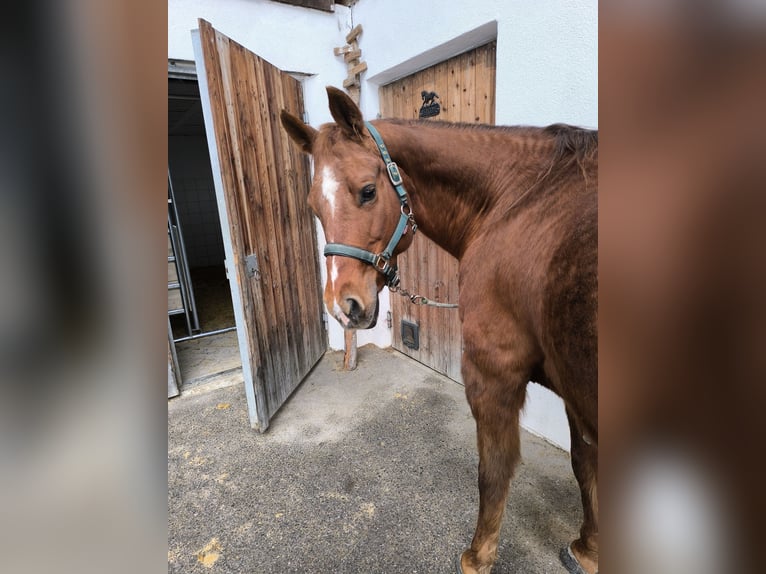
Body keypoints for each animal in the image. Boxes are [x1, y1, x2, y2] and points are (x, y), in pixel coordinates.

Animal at [281, 87, 598, 574]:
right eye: (314, 207)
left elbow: (493, 471)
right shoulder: (574, 392)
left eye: (368, 191)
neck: (520, 199)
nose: (343, 307)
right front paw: (590, 548)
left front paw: (477, 558)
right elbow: (585, 465)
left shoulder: (493, 373)